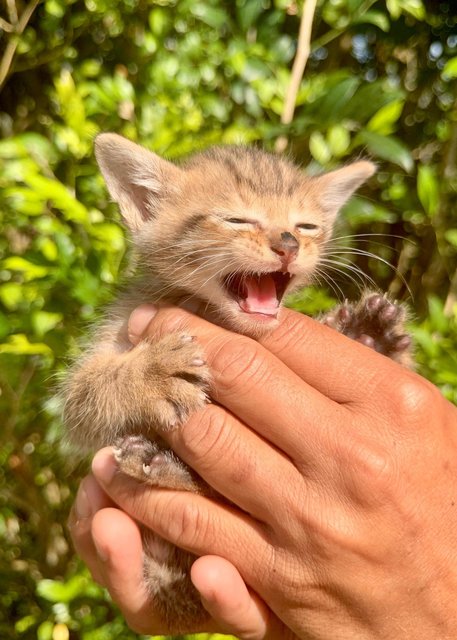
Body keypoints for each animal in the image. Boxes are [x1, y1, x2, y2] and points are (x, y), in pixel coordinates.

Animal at [63, 135, 410, 632]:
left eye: (305, 226)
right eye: (236, 219)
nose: (288, 244)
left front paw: (365, 333)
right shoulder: (85, 386)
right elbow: (90, 393)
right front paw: (153, 374)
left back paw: (369, 335)